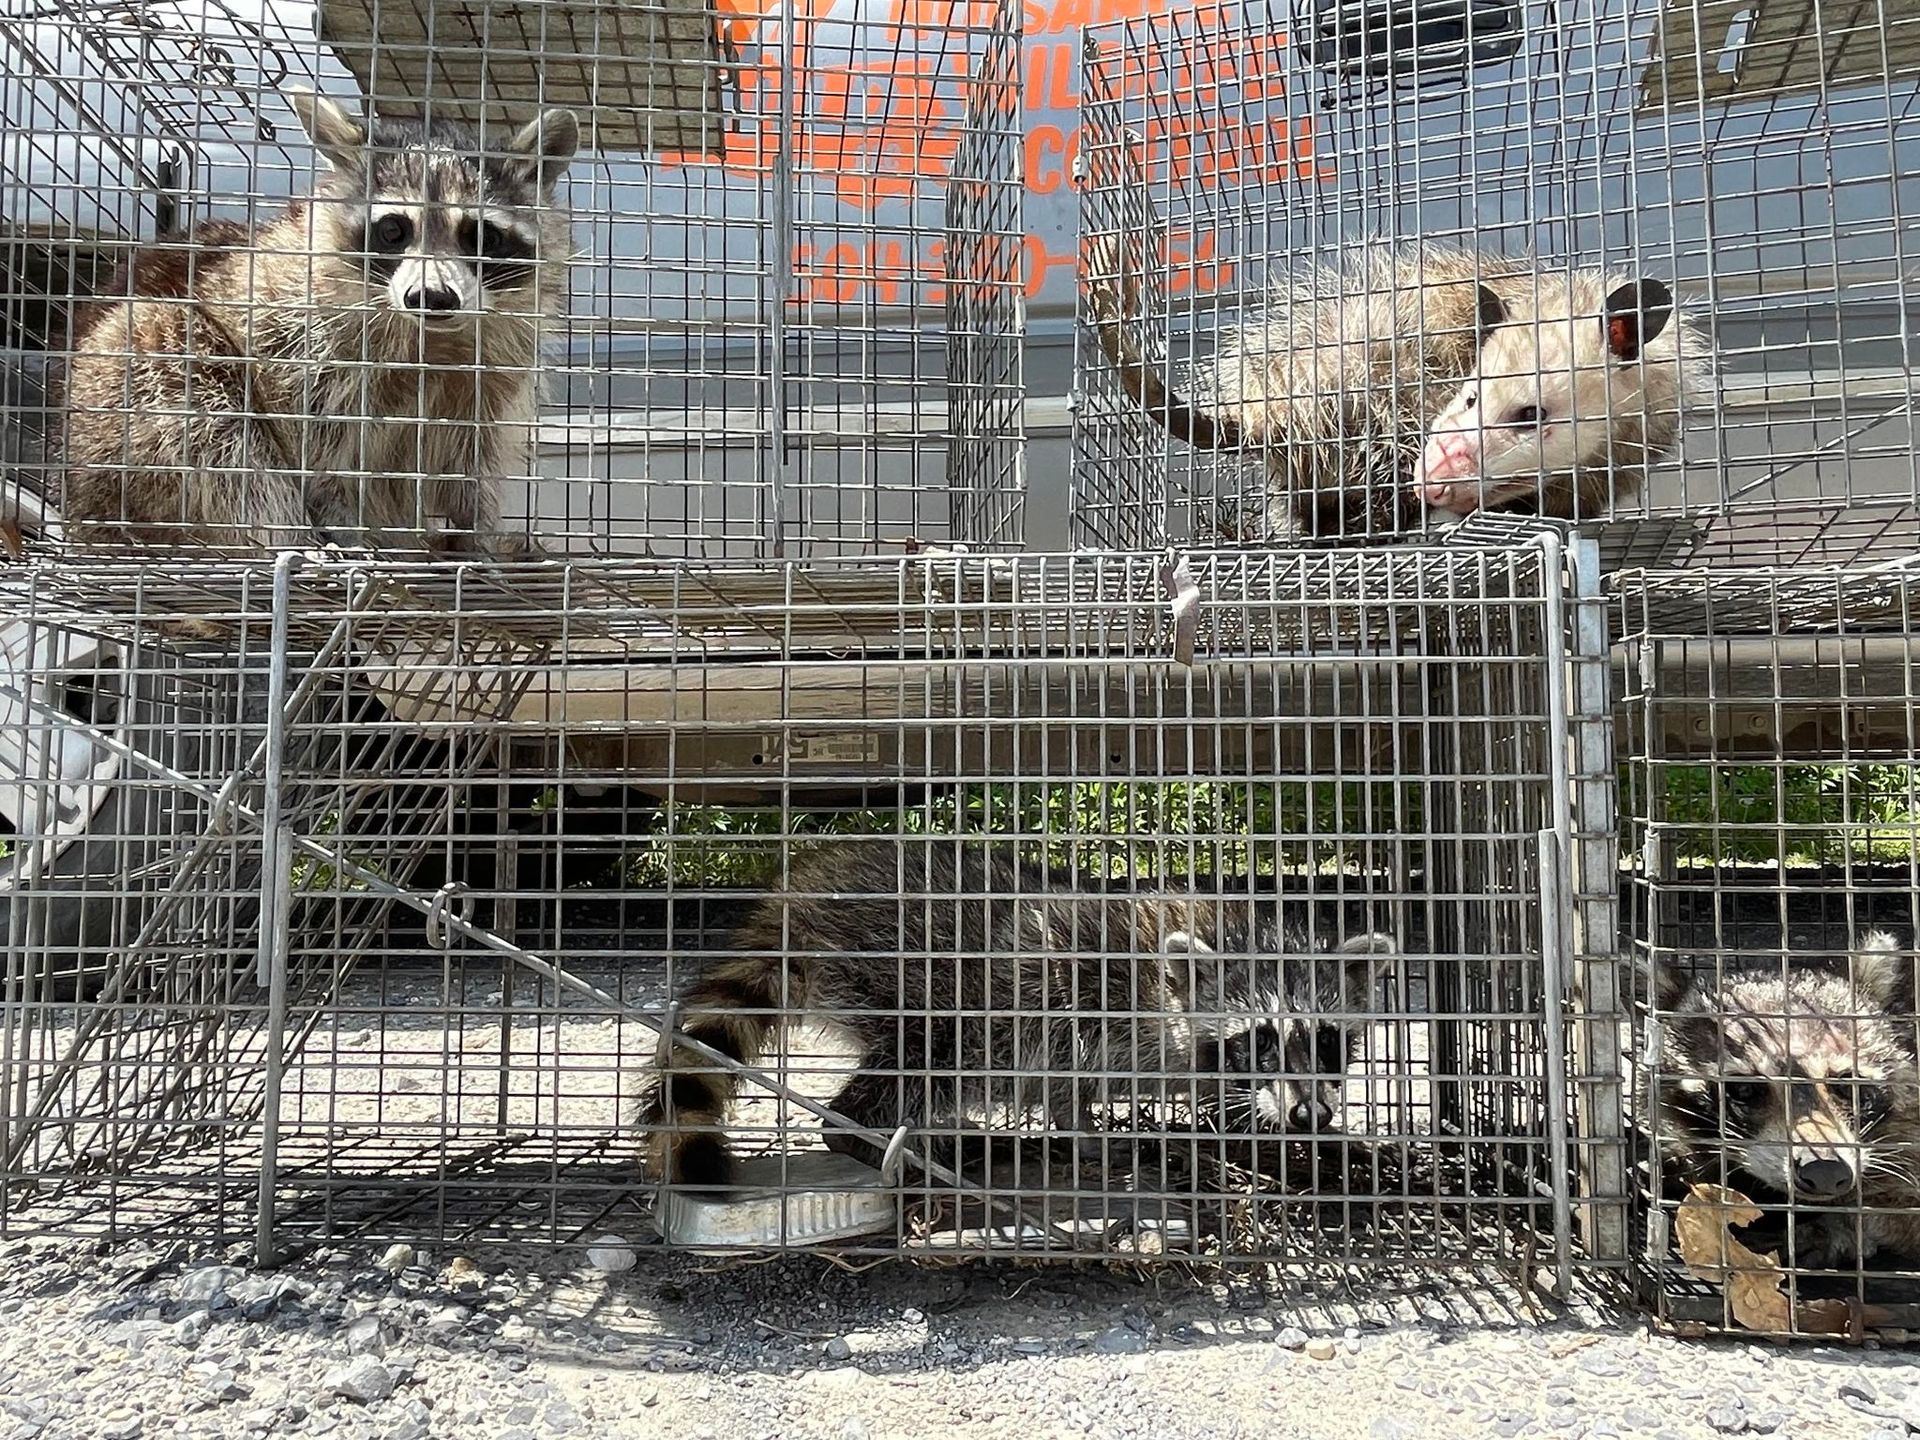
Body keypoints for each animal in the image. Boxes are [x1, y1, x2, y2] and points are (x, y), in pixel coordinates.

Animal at [58, 88, 578, 553]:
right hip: (120, 399)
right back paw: (289, 540)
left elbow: (474, 457)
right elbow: (313, 451)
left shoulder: (493, 371)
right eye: (394, 230)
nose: (430, 297)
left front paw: (478, 530)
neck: (431, 338)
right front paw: (338, 520)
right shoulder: (293, 332)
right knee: (217, 436)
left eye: (481, 236)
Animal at [637, 841, 1397, 1190]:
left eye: (1329, 1042)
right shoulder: (1085, 994)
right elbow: (1064, 1067)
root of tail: (802, 895)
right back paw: (874, 1135)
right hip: (914, 983)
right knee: (915, 1071)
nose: (1310, 1116)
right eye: (1260, 1042)